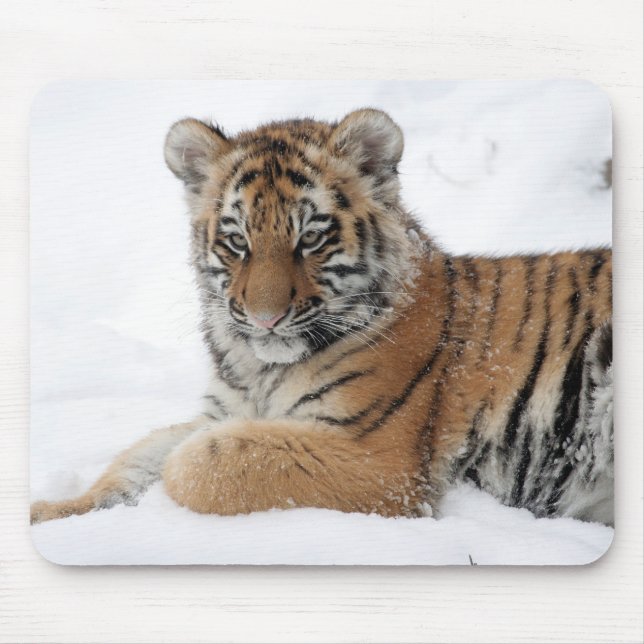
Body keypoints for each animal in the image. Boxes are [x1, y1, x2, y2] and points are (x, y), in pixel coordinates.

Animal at [30, 108, 614, 527]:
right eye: (237, 241)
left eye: (310, 237)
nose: (265, 319)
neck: (259, 368)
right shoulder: (224, 410)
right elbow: (135, 461)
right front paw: (54, 513)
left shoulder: (378, 463)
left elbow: (200, 462)